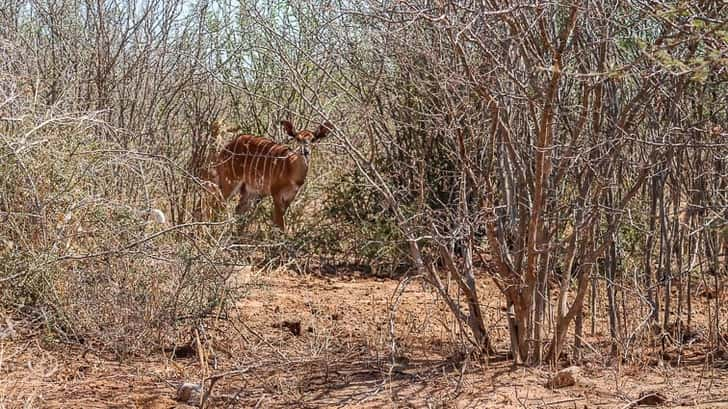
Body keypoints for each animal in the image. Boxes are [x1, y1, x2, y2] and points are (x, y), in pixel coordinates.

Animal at [202, 119, 332, 231]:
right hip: (230, 181)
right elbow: (279, 222)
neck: (291, 169)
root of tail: (224, 150)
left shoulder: (291, 196)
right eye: (297, 138)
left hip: (250, 191)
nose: (305, 151)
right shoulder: (276, 192)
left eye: (313, 139)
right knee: (218, 204)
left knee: (238, 210)